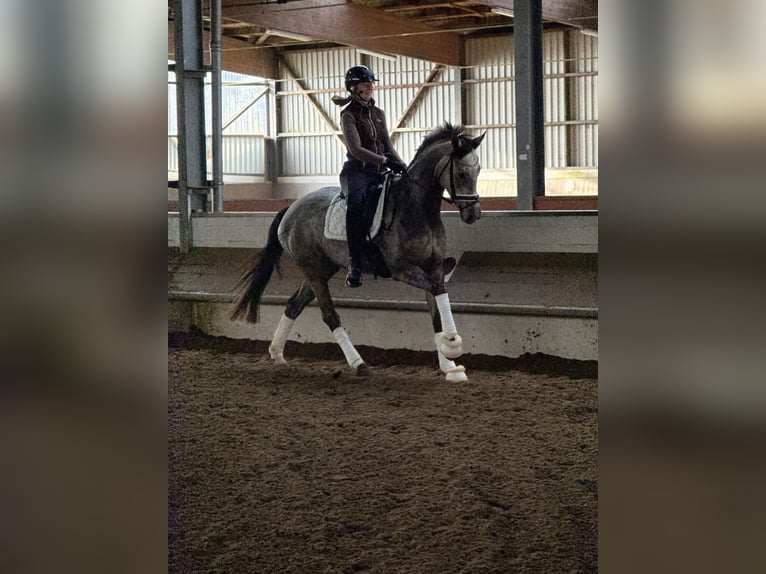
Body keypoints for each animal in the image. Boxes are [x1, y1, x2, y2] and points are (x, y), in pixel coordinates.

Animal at [230, 123, 485, 381]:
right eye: (461, 174)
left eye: (478, 170)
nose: (473, 214)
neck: (417, 208)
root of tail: (291, 208)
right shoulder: (401, 270)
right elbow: (438, 289)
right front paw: (452, 344)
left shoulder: (432, 267)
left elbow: (436, 311)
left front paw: (450, 367)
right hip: (313, 270)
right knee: (330, 315)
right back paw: (359, 363)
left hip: (323, 269)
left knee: (294, 305)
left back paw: (277, 354)